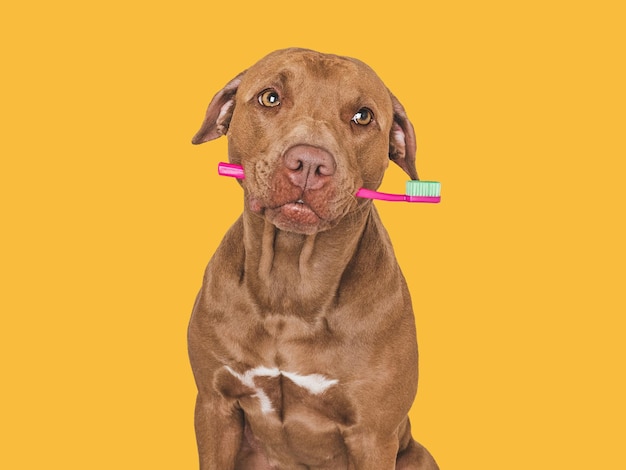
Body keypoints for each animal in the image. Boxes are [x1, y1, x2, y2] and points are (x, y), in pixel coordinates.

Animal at [188, 48, 436, 470]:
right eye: (270, 97)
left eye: (363, 116)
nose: (309, 162)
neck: (291, 285)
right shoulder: (214, 406)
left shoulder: (374, 435)